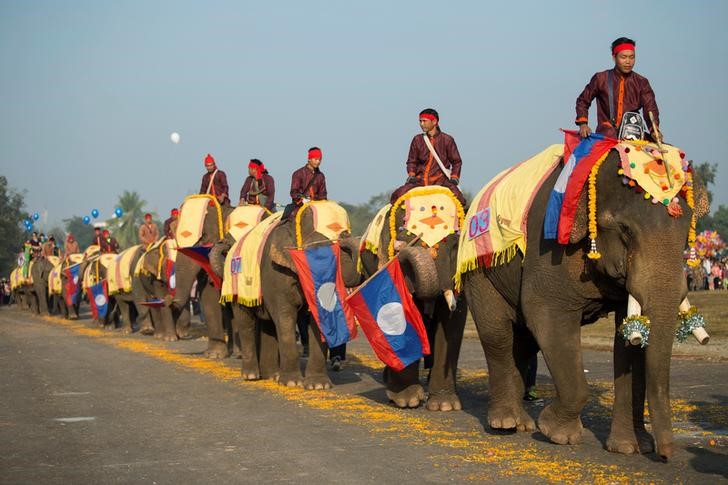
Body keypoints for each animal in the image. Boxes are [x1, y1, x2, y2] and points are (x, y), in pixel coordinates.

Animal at [358, 187, 466, 410]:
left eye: (454, 245)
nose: (402, 250)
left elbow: (452, 321)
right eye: (400, 242)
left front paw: (445, 406)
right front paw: (406, 402)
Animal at [458, 146, 708, 460]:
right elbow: (546, 316)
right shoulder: (548, 250)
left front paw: (629, 448)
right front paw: (557, 433)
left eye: (688, 235)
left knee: (523, 342)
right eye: (625, 230)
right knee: (497, 334)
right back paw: (506, 423)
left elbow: (629, 339)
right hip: (479, 270)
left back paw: (523, 423)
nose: (665, 455)